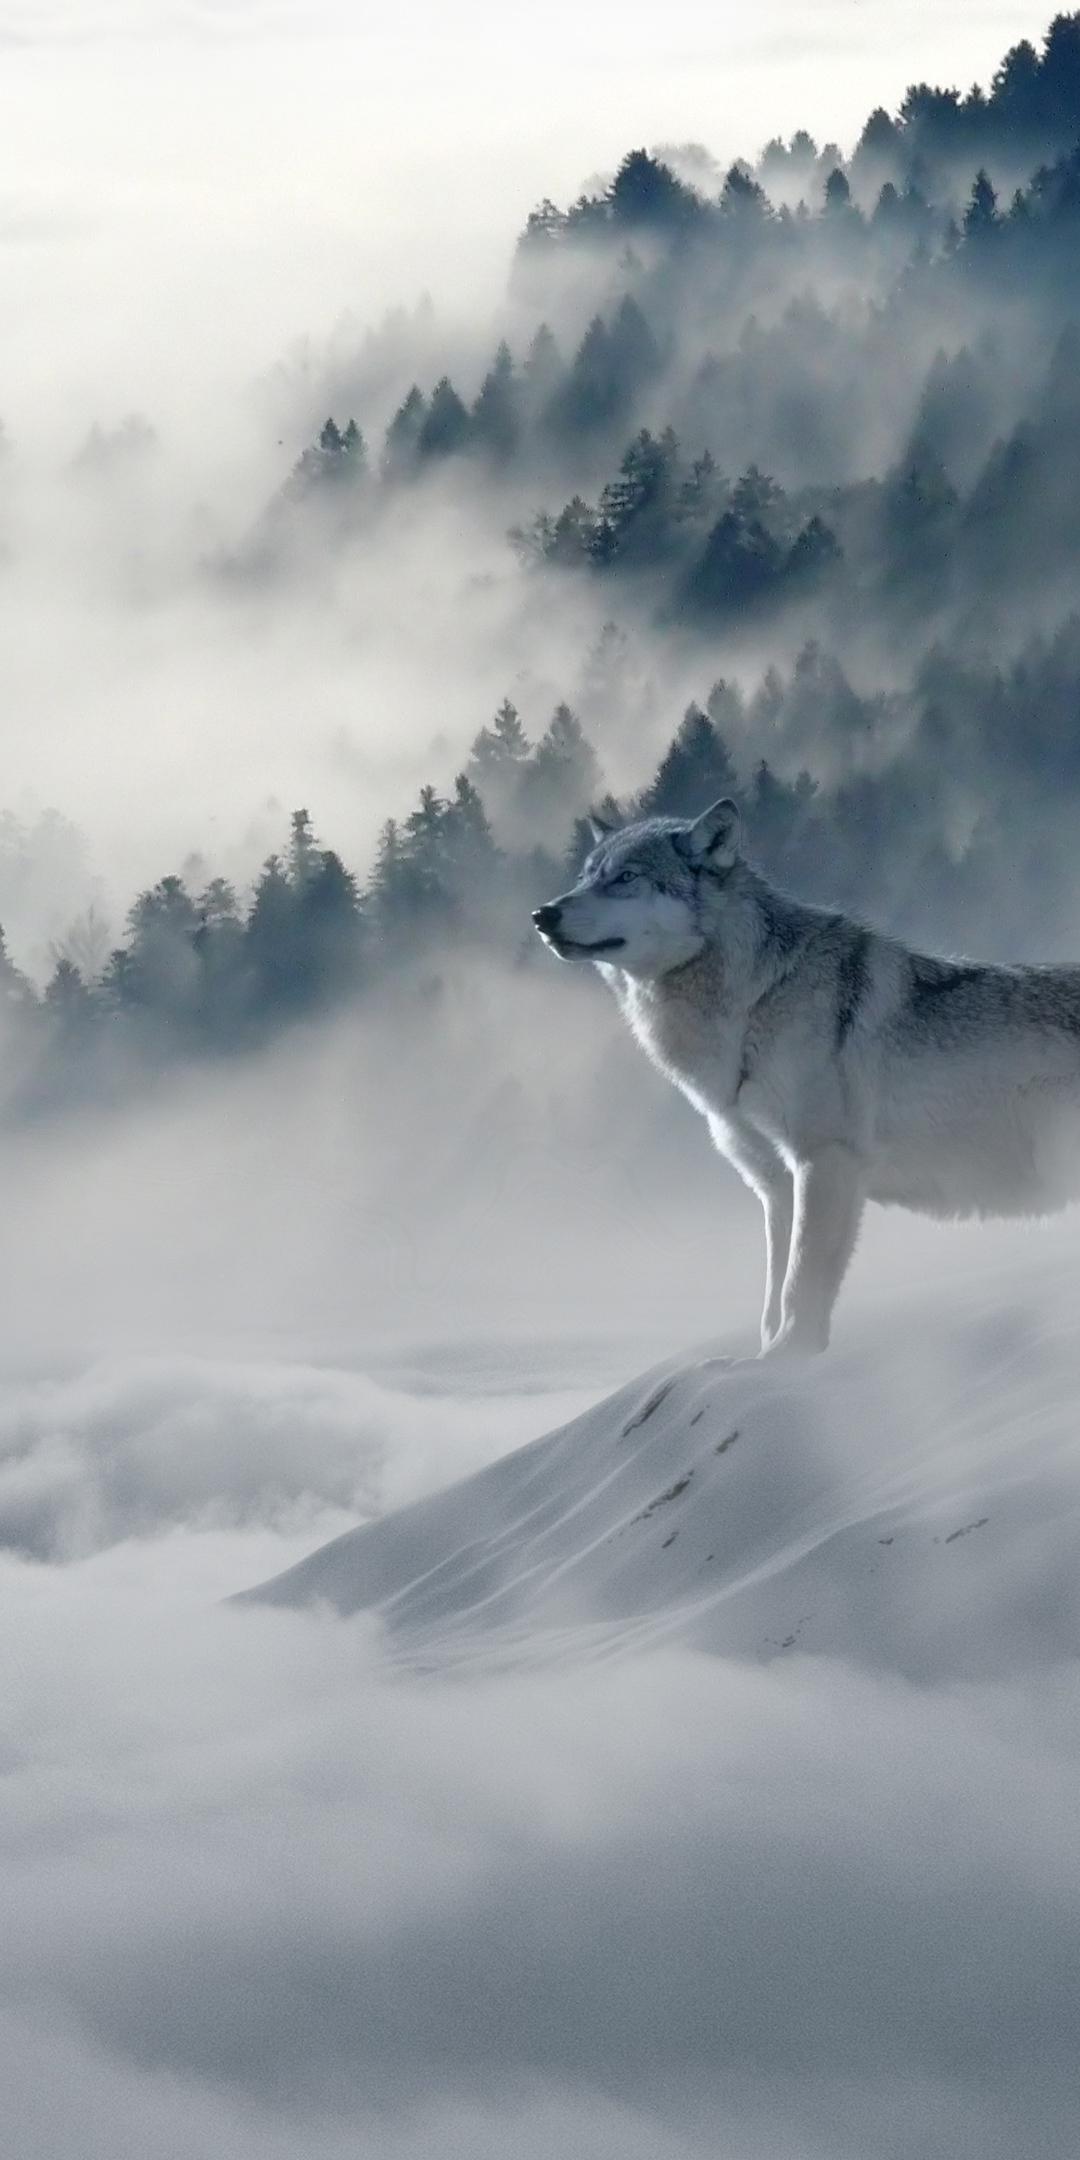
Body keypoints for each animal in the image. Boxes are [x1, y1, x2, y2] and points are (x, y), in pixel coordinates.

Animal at [533, 797, 1080, 1356]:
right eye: (585, 877)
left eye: (626, 877)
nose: (542, 914)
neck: (753, 1001)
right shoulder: (776, 1185)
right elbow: (773, 1295)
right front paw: (765, 1360)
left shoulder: (825, 1162)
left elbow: (800, 1286)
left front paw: (789, 1356)